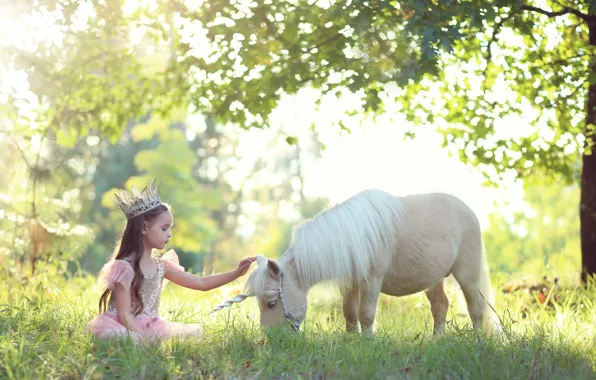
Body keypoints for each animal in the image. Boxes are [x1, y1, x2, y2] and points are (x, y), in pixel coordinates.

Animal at [212, 190, 500, 336]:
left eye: (272, 302)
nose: (272, 339)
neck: (350, 236)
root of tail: (468, 210)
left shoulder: (371, 281)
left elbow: (366, 314)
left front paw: (368, 343)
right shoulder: (349, 283)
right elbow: (349, 314)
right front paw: (351, 342)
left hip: (467, 276)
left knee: (476, 309)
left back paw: (477, 342)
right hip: (434, 279)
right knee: (440, 307)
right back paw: (435, 343)